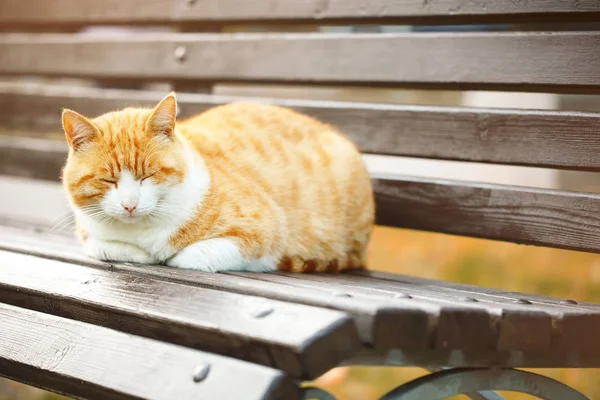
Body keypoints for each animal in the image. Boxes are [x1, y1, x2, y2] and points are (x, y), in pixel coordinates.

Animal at [59, 92, 376, 274]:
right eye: (108, 179)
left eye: (148, 175)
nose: (130, 205)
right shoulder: (90, 235)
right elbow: (107, 247)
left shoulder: (264, 231)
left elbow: (192, 256)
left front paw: (167, 257)